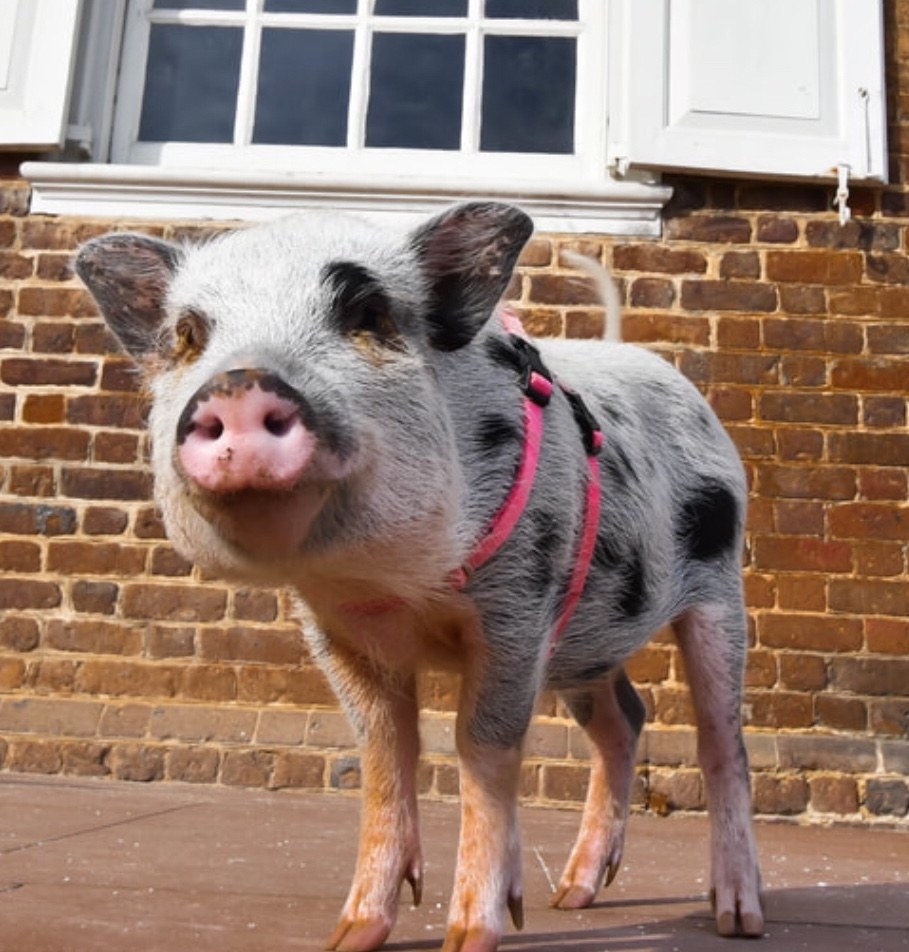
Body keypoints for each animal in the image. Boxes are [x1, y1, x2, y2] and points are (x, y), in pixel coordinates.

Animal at [76, 202, 763, 952]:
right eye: (190, 335)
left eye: (368, 312)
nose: (237, 385)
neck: (392, 587)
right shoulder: (335, 630)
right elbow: (382, 750)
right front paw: (350, 936)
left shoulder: (519, 609)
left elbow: (481, 748)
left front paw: (469, 937)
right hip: (584, 645)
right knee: (623, 720)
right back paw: (569, 897)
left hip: (718, 587)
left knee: (721, 742)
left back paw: (738, 918)